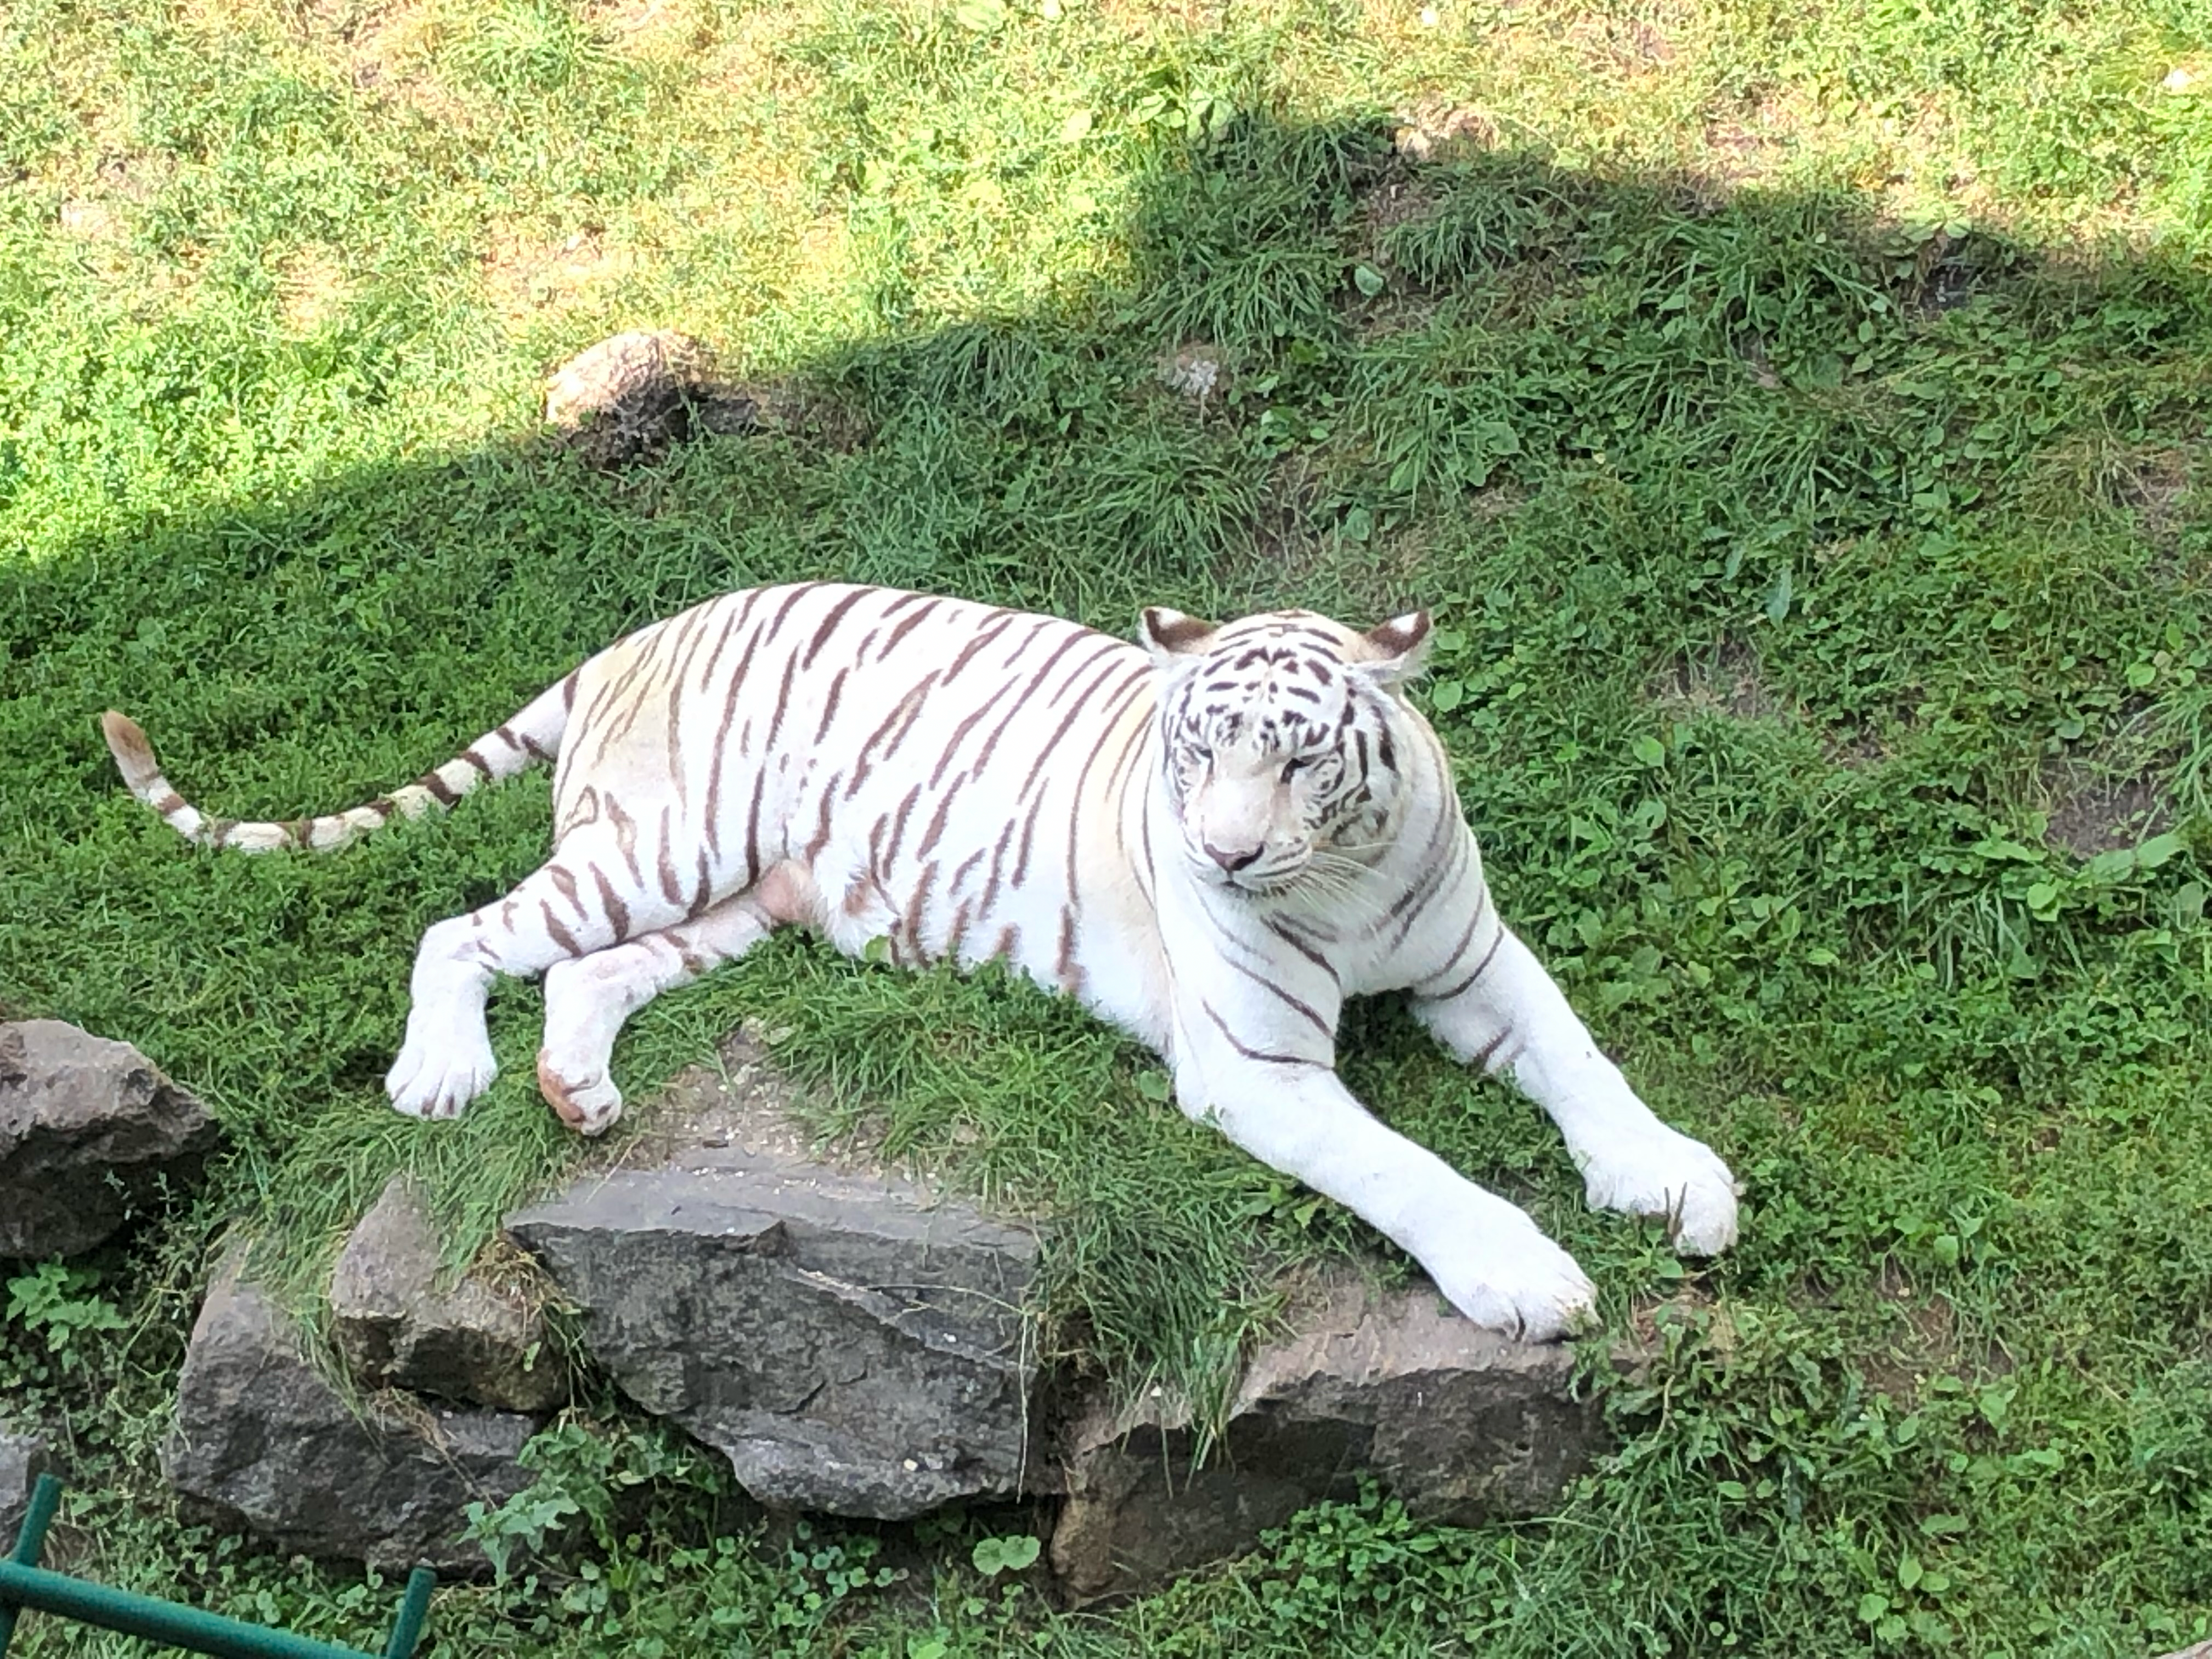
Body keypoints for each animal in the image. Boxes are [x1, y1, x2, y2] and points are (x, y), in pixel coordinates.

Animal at [102, 581, 1739, 1340]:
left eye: (1295, 758)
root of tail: (635, 633)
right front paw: (1526, 1278)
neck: (1336, 880)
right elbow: (1408, 1169)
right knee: (464, 932)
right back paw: (445, 1075)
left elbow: (1582, 1057)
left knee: (581, 974)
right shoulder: (1258, 1065)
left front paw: (1670, 1179)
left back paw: (576, 1095)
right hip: (663, 846)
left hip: (733, 901)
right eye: (1195, 749)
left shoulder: (1474, 960)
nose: (1222, 856)